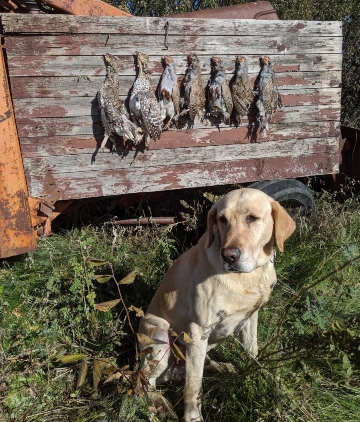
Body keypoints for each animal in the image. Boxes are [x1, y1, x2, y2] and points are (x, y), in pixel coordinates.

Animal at [138, 189, 296, 422]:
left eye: (252, 218)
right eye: (222, 219)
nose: (229, 256)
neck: (247, 277)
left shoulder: (251, 318)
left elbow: (253, 352)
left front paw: (261, 378)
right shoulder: (198, 330)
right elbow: (194, 387)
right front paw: (193, 418)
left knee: (202, 363)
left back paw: (222, 367)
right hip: (159, 334)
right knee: (145, 379)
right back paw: (157, 404)